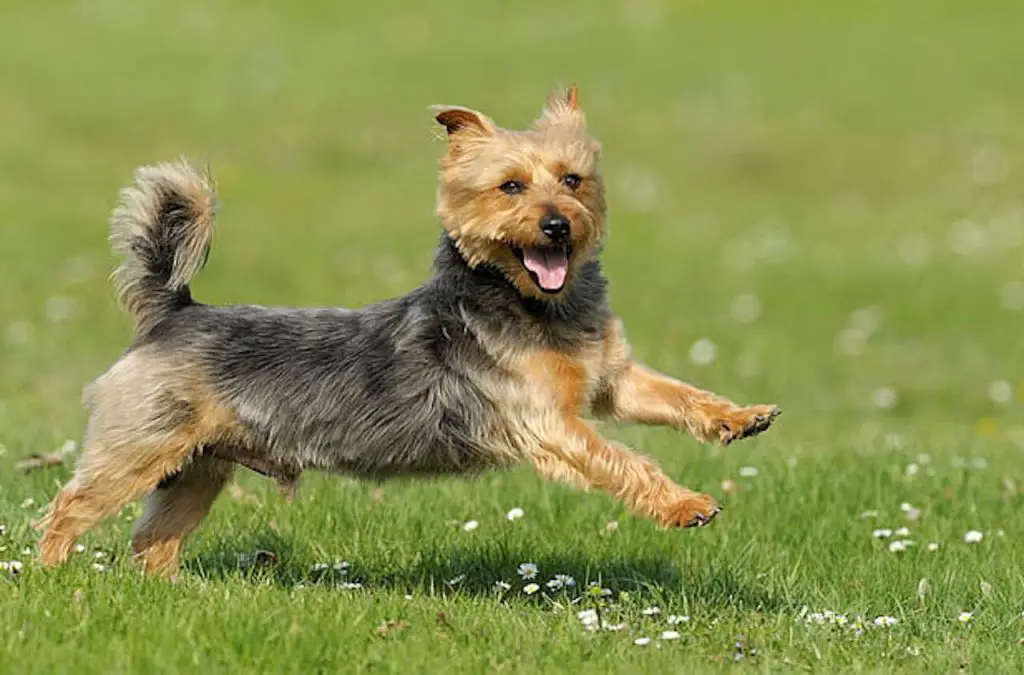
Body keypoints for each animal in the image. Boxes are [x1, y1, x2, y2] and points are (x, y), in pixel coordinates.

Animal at [36, 86, 778, 577]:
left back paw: (169, 592)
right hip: (139, 446)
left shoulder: (610, 381)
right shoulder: (547, 422)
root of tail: (175, 311)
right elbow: (624, 459)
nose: (557, 224)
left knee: (152, 538)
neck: (538, 306)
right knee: (68, 507)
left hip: (198, 465)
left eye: (573, 180)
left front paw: (741, 416)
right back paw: (52, 578)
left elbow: (676, 393)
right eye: (511, 187)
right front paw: (685, 504)